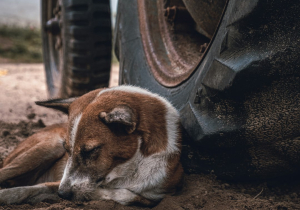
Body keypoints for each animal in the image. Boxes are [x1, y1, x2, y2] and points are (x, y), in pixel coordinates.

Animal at [0, 85, 183, 207]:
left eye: (90, 151)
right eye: (67, 150)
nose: (63, 194)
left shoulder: (159, 195)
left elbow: (128, 195)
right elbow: (26, 190)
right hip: (46, 148)